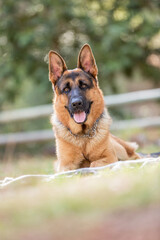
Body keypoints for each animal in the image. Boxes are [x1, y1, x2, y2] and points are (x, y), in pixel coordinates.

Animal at [48, 44, 140, 172]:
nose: (76, 103)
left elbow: (93, 164)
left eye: (83, 85)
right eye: (66, 89)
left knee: (136, 156)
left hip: (121, 150)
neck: (83, 136)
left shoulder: (109, 157)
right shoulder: (65, 166)